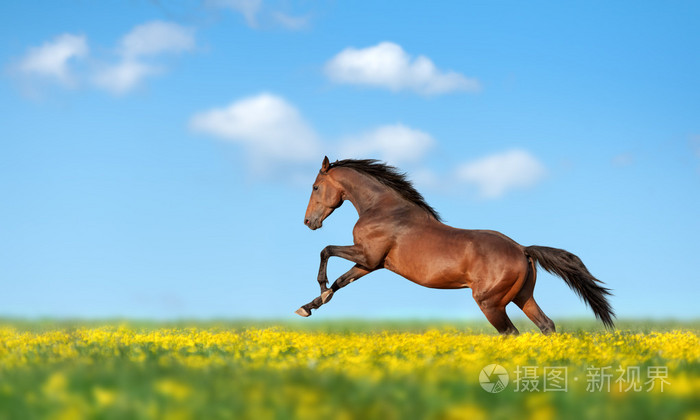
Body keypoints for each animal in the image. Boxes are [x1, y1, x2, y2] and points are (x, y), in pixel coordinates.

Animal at [298, 158, 616, 334]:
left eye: (315, 187)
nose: (308, 222)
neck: (384, 209)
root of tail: (522, 249)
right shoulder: (371, 264)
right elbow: (342, 281)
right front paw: (311, 305)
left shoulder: (368, 255)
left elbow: (326, 250)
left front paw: (319, 291)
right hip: (522, 297)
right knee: (546, 325)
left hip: (491, 303)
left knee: (511, 332)